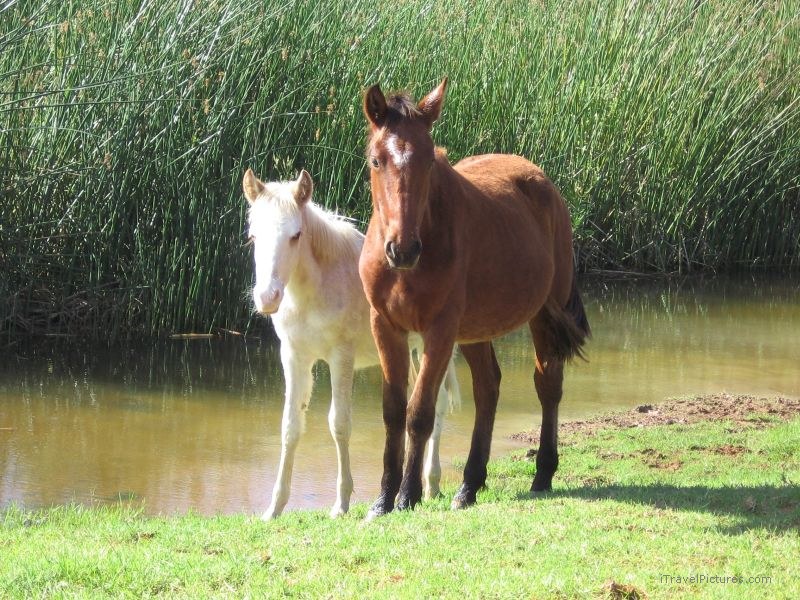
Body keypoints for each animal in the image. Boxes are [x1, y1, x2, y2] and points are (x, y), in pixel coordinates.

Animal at [243, 168, 460, 519]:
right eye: (253, 236)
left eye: (296, 235)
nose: (267, 297)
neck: (314, 290)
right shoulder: (294, 356)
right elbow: (290, 427)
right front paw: (274, 509)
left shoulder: (340, 358)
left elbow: (339, 424)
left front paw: (341, 504)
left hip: (435, 346)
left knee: (437, 403)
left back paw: (431, 483)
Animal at [358, 79, 590, 518]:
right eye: (377, 161)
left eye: (429, 161)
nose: (403, 249)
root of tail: (542, 180)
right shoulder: (385, 326)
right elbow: (393, 411)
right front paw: (382, 499)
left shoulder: (440, 331)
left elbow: (419, 412)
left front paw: (407, 495)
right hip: (476, 330)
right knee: (489, 388)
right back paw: (468, 485)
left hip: (542, 315)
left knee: (547, 384)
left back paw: (542, 474)